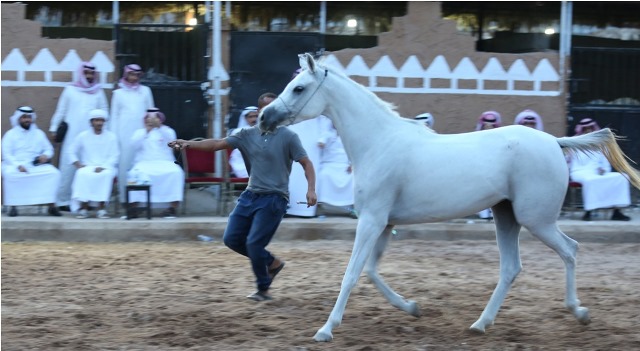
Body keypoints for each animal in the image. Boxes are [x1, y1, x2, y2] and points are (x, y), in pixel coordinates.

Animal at [258, 53, 636, 342]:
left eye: (299, 88)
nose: (264, 117)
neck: (379, 142)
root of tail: (555, 142)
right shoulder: (384, 223)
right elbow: (372, 272)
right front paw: (412, 308)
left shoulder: (372, 221)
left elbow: (352, 273)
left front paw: (325, 330)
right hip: (506, 216)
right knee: (511, 267)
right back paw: (481, 324)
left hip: (536, 219)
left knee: (570, 250)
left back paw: (579, 312)